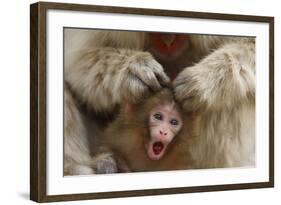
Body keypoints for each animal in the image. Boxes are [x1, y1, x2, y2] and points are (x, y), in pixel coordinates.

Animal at [63, 29, 254, 175]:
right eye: (158, 117)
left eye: (174, 122)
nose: (168, 41)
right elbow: (79, 63)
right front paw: (133, 69)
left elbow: (250, 44)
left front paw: (203, 80)